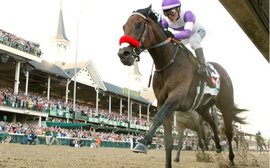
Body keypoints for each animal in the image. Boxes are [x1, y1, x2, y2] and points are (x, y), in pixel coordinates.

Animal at [117, 4, 246, 167]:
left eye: (139, 25)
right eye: (124, 27)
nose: (123, 54)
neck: (168, 63)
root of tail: (223, 72)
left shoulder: (175, 99)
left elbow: (157, 117)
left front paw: (143, 142)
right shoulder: (162, 102)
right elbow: (168, 142)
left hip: (225, 104)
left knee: (228, 132)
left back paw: (231, 158)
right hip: (202, 107)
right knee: (213, 124)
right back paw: (217, 146)